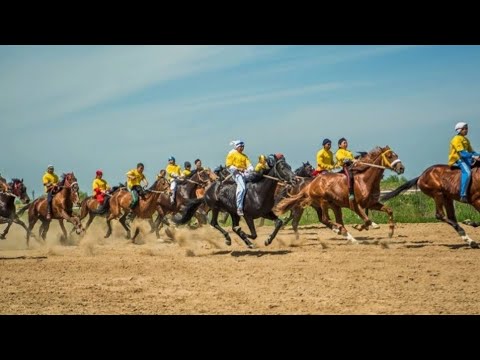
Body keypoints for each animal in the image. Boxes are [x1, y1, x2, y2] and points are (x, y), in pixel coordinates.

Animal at [274, 146, 404, 245]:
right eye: (389, 156)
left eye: (396, 154)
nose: (401, 168)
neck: (363, 180)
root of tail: (310, 185)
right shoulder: (355, 205)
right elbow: (366, 220)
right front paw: (359, 226)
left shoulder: (371, 203)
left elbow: (389, 210)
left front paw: (390, 232)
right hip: (319, 203)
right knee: (322, 219)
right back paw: (339, 230)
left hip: (332, 206)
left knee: (330, 220)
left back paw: (348, 236)